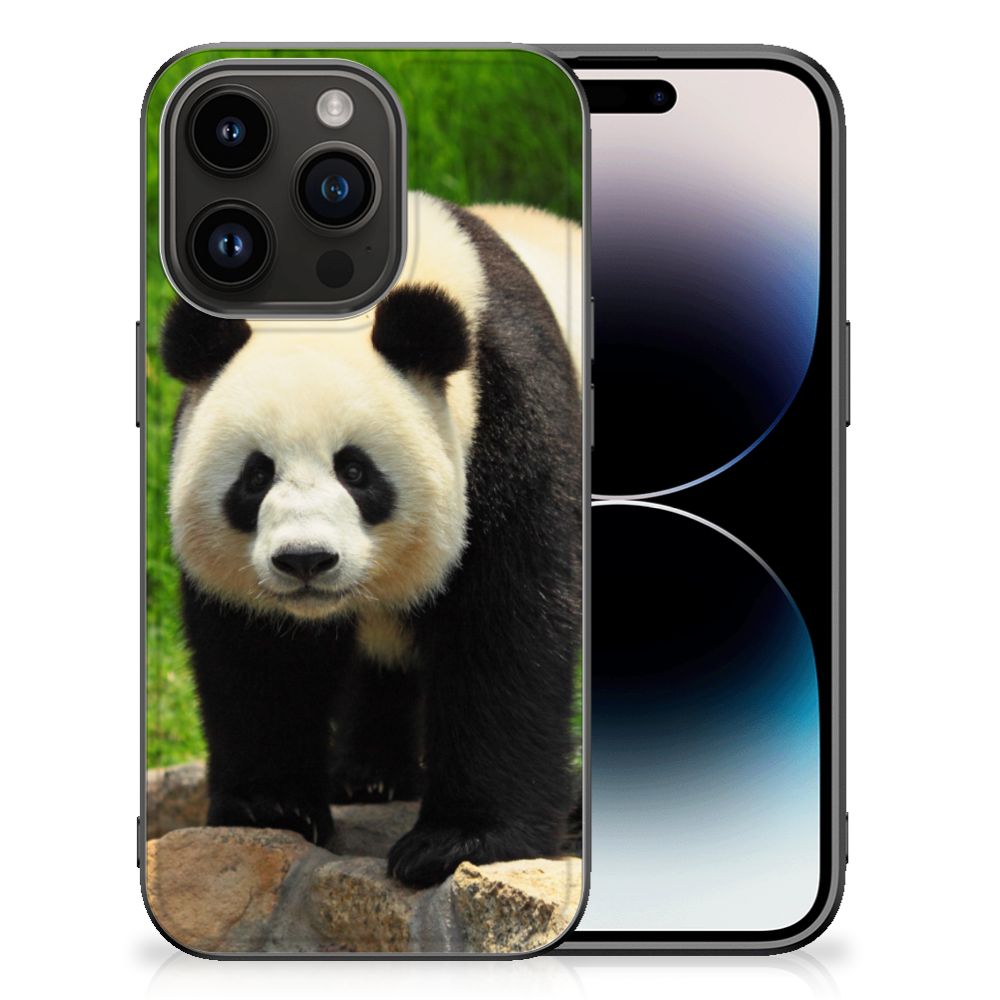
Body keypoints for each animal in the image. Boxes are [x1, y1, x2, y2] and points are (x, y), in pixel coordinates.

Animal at [161, 191, 582, 888]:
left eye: (355, 471)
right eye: (255, 476)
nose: (305, 560)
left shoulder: (511, 422)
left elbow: (506, 629)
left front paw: (457, 841)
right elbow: (259, 653)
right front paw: (270, 806)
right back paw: (369, 776)